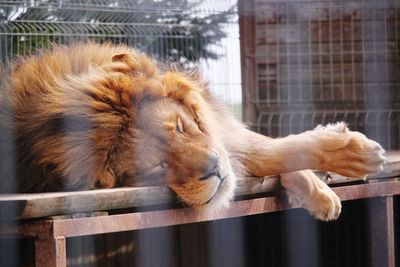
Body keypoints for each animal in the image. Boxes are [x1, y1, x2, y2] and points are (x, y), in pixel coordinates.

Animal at [0, 42, 388, 222]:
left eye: (180, 126)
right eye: (156, 168)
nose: (214, 170)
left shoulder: (220, 131)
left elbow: (265, 148)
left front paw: (341, 168)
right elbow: (262, 154)